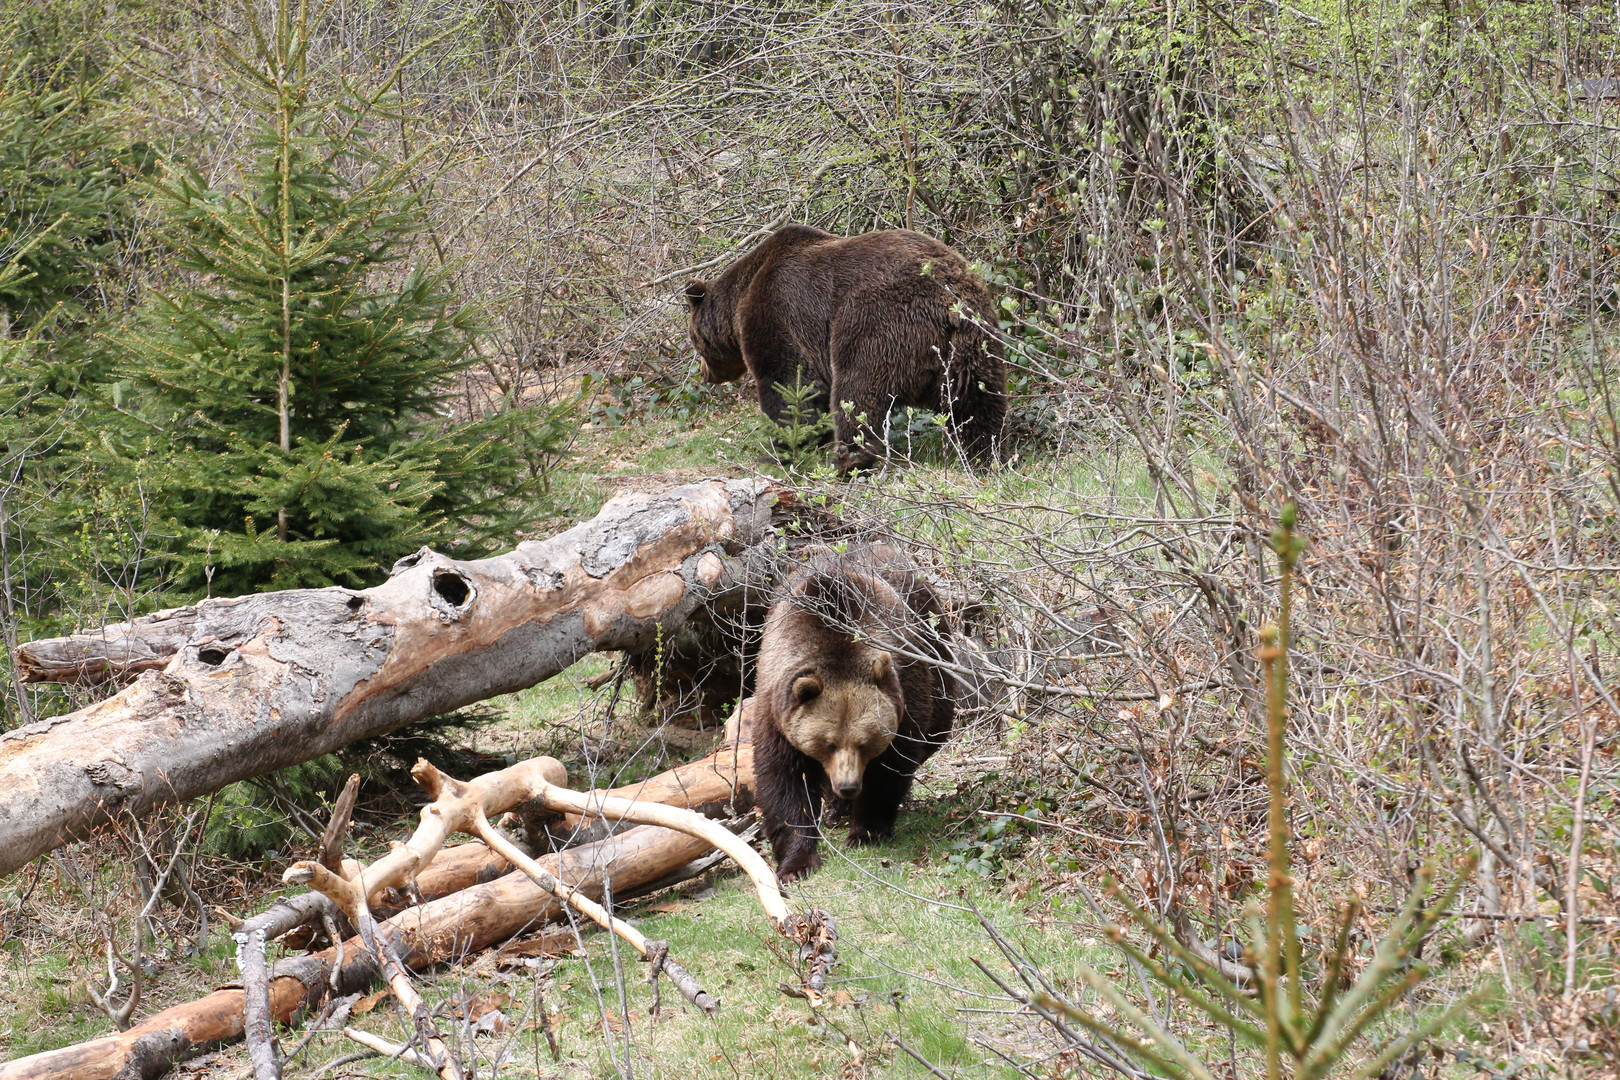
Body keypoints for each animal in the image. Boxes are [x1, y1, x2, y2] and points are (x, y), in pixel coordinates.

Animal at [686, 225, 1010, 472]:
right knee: (978, 400)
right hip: (975, 340)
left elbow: (789, 386)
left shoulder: (777, 313)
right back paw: (988, 455)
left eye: (694, 341)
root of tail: (946, 298)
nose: (704, 374)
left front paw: (777, 451)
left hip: (874, 322)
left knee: (859, 387)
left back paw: (849, 457)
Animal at [748, 544, 952, 880]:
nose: (847, 786)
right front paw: (796, 864)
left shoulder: (903, 691)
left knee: (938, 728)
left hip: (936, 650)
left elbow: (889, 768)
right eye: (827, 743)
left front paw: (865, 832)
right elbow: (783, 780)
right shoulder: (775, 708)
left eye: (864, 742)